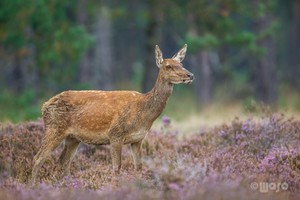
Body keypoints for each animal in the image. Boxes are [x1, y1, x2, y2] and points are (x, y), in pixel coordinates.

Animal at [31, 43, 195, 184]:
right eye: (168, 66)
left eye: (181, 64)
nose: (190, 75)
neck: (144, 113)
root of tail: (44, 106)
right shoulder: (115, 134)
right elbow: (117, 167)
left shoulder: (138, 139)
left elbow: (139, 167)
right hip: (54, 128)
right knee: (38, 159)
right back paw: (32, 185)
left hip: (72, 138)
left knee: (63, 163)